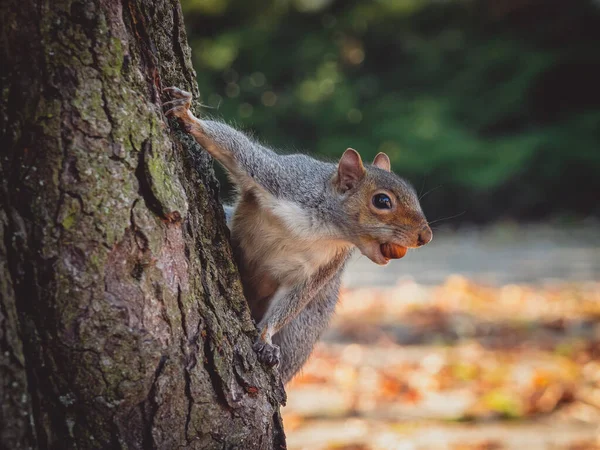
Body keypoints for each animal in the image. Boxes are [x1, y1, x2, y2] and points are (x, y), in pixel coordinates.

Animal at [159, 87, 432, 384]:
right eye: (382, 201)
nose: (425, 236)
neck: (321, 227)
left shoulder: (324, 267)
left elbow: (293, 301)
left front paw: (266, 338)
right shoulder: (279, 177)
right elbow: (236, 147)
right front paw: (187, 115)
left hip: (303, 330)